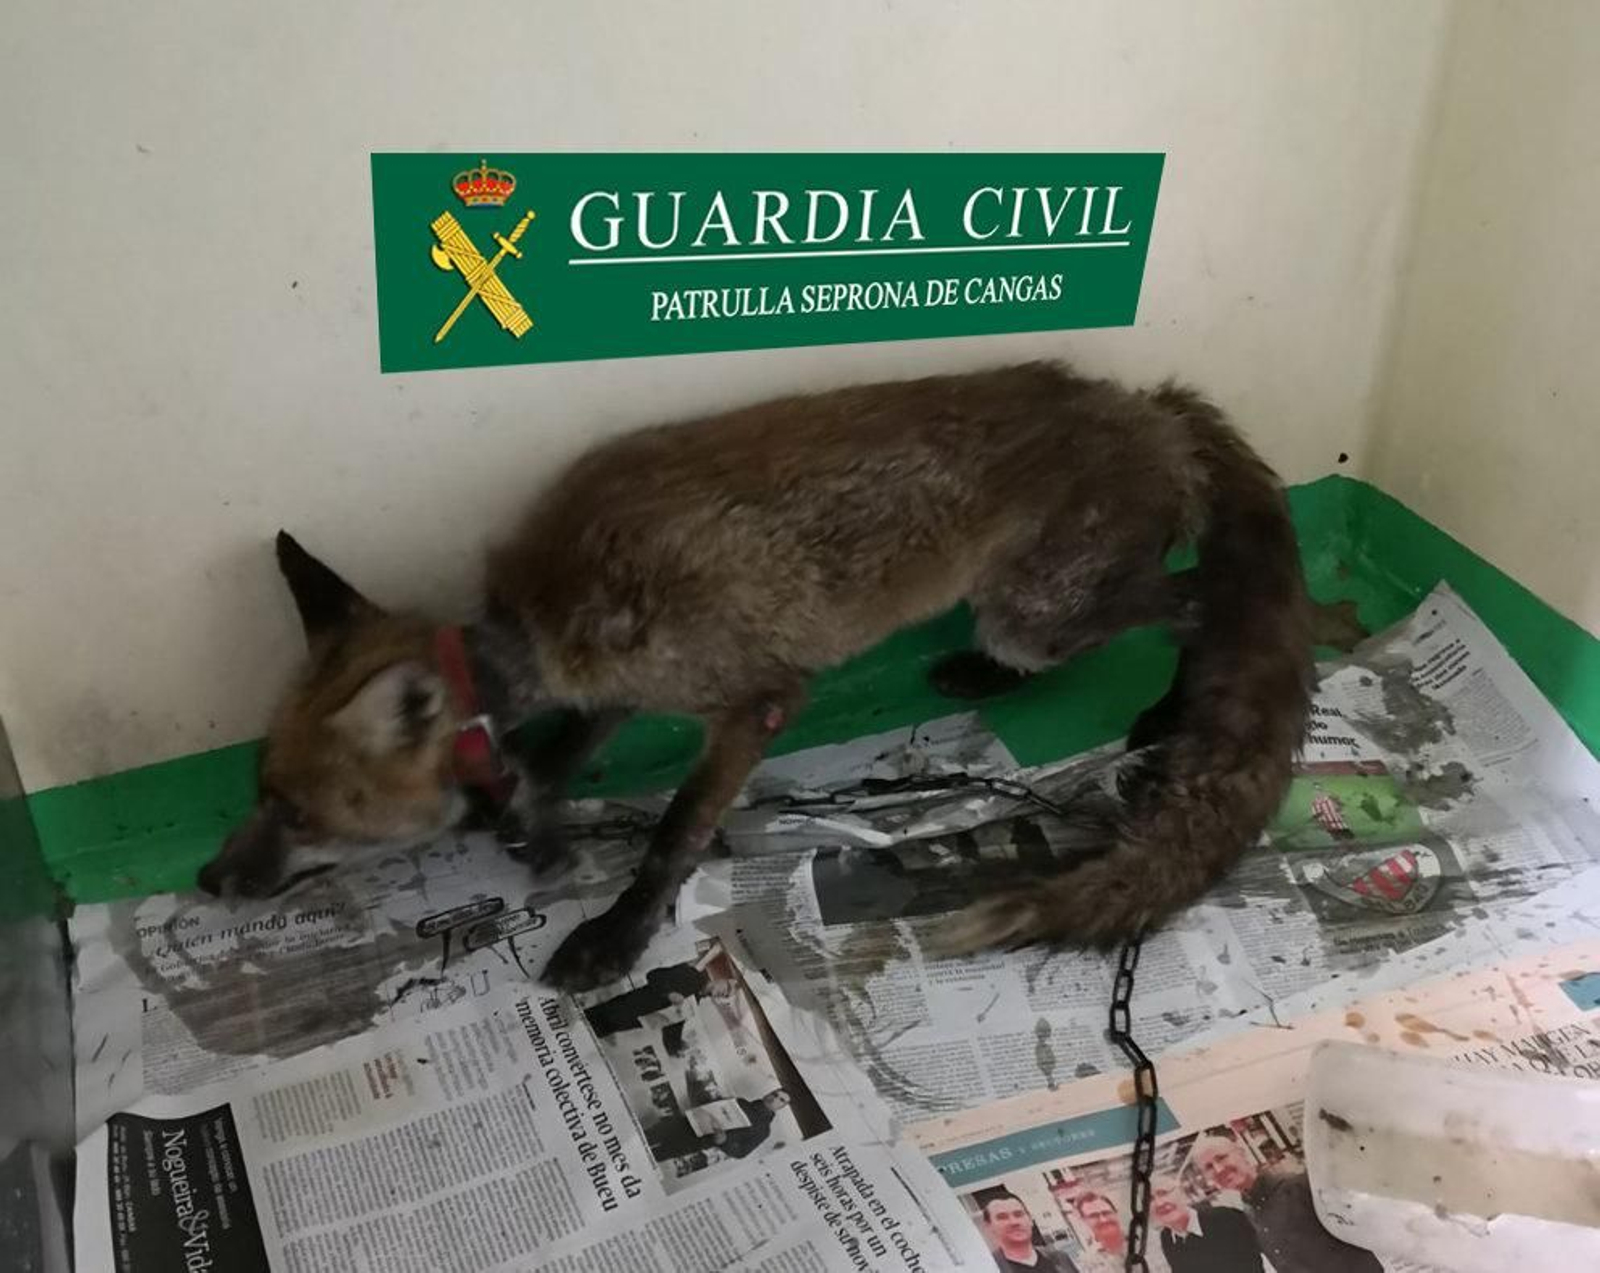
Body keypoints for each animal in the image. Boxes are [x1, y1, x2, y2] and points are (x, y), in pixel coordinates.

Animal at [197, 361, 1314, 991]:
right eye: (258, 790)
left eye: (297, 812)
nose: (208, 880)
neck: (547, 615)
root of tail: (1151, 406)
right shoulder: (616, 690)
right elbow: (547, 761)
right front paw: (525, 818)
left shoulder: (755, 698)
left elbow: (674, 833)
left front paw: (617, 931)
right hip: (1033, 609)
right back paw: (985, 677)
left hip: (1036, 611)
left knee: (1197, 604)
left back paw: (1169, 708)